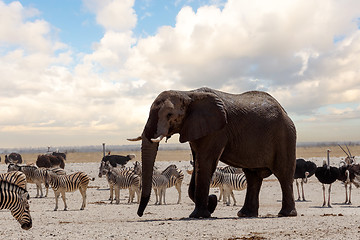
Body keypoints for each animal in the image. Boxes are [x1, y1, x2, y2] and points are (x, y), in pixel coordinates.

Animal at [128, 87, 296, 218]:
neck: (188, 94)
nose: (140, 214)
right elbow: (198, 163)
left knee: (283, 174)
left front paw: (200, 214)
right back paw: (245, 214)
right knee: (253, 176)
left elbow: (205, 163)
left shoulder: (217, 130)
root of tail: (285, 112)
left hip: (285, 136)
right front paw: (211, 204)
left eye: (169, 115)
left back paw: (286, 214)